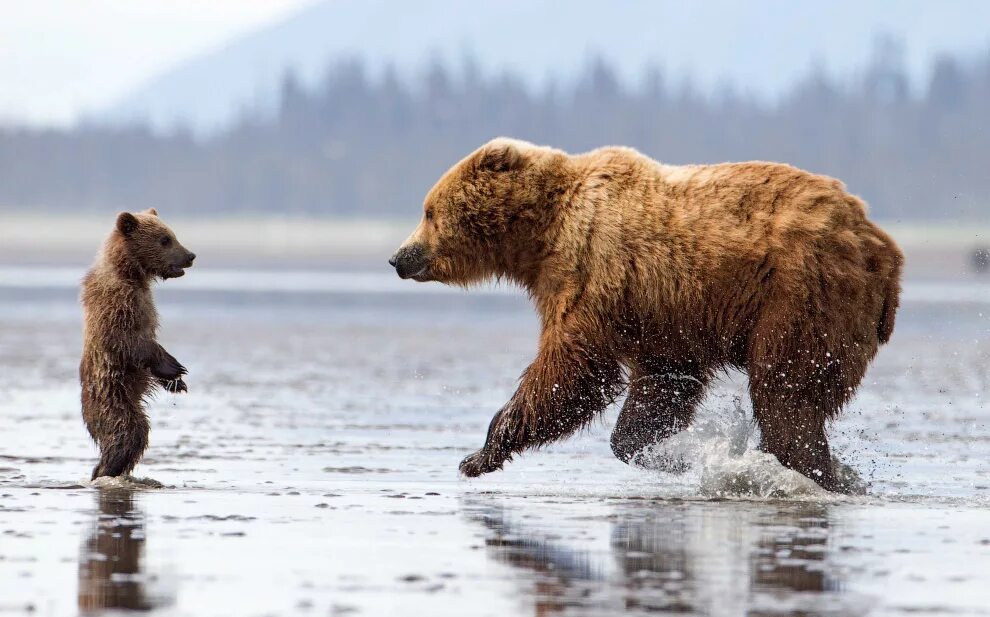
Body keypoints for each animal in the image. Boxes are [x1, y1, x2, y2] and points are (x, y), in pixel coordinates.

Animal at [392, 140, 904, 490]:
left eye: (428, 211)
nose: (399, 257)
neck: (540, 237)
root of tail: (883, 247)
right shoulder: (660, 317)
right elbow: (661, 387)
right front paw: (663, 451)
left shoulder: (590, 270)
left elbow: (573, 373)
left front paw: (478, 455)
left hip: (801, 294)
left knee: (787, 390)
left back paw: (808, 468)